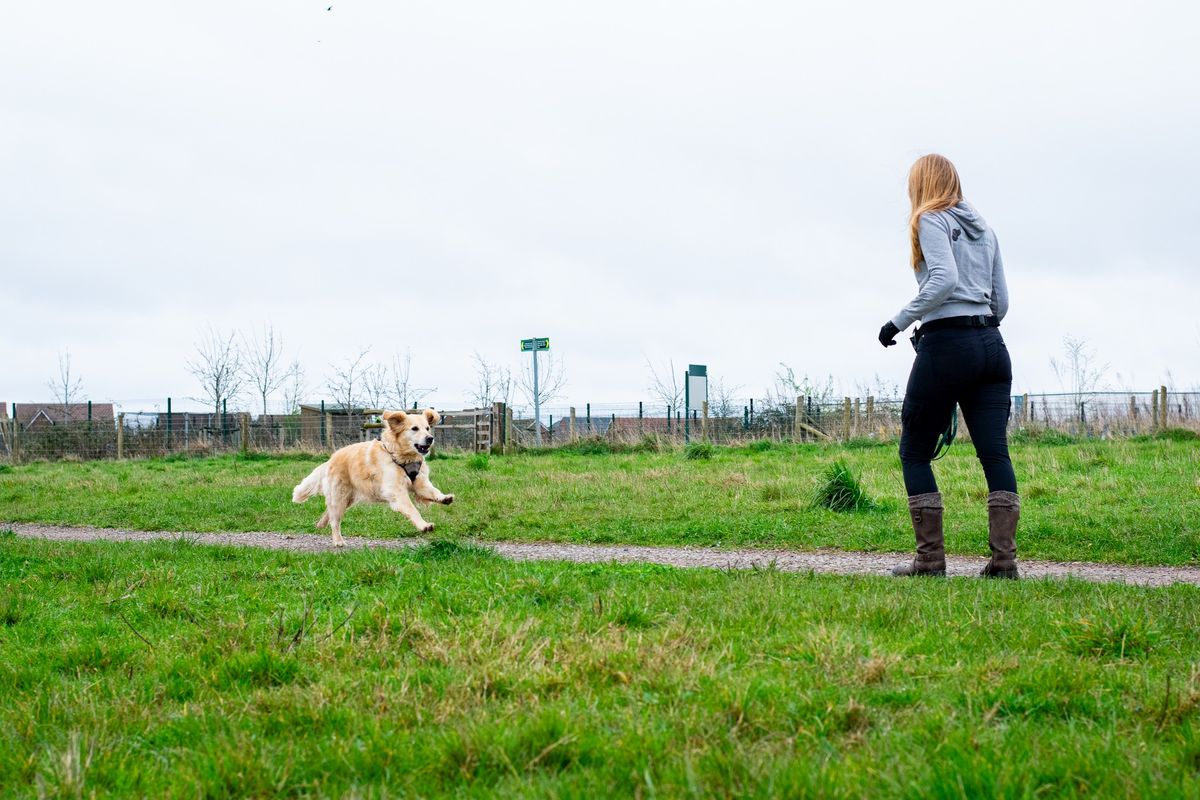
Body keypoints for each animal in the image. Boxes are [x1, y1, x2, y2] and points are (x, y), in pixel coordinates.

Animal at [290, 410, 453, 546]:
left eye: (427, 428)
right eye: (414, 428)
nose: (430, 438)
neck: (402, 457)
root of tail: (331, 459)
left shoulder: (420, 483)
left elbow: (432, 491)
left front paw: (444, 498)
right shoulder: (396, 490)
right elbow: (412, 509)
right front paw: (424, 525)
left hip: (346, 499)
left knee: (329, 514)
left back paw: (320, 524)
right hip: (340, 496)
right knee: (335, 520)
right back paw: (338, 541)